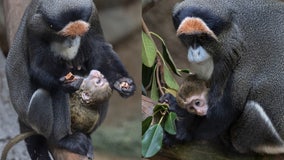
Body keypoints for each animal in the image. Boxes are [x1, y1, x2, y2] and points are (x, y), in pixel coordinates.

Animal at [5, 0, 136, 159]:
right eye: (66, 34)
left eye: (78, 33)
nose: (72, 41)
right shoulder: (35, 26)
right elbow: (39, 65)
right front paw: (70, 81)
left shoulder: (92, 15)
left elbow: (100, 49)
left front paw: (122, 82)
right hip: (33, 119)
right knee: (52, 92)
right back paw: (63, 140)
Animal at [165, 0, 284, 154]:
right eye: (189, 38)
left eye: (202, 37)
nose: (195, 52)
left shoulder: (245, 57)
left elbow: (228, 109)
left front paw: (184, 131)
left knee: (253, 111)